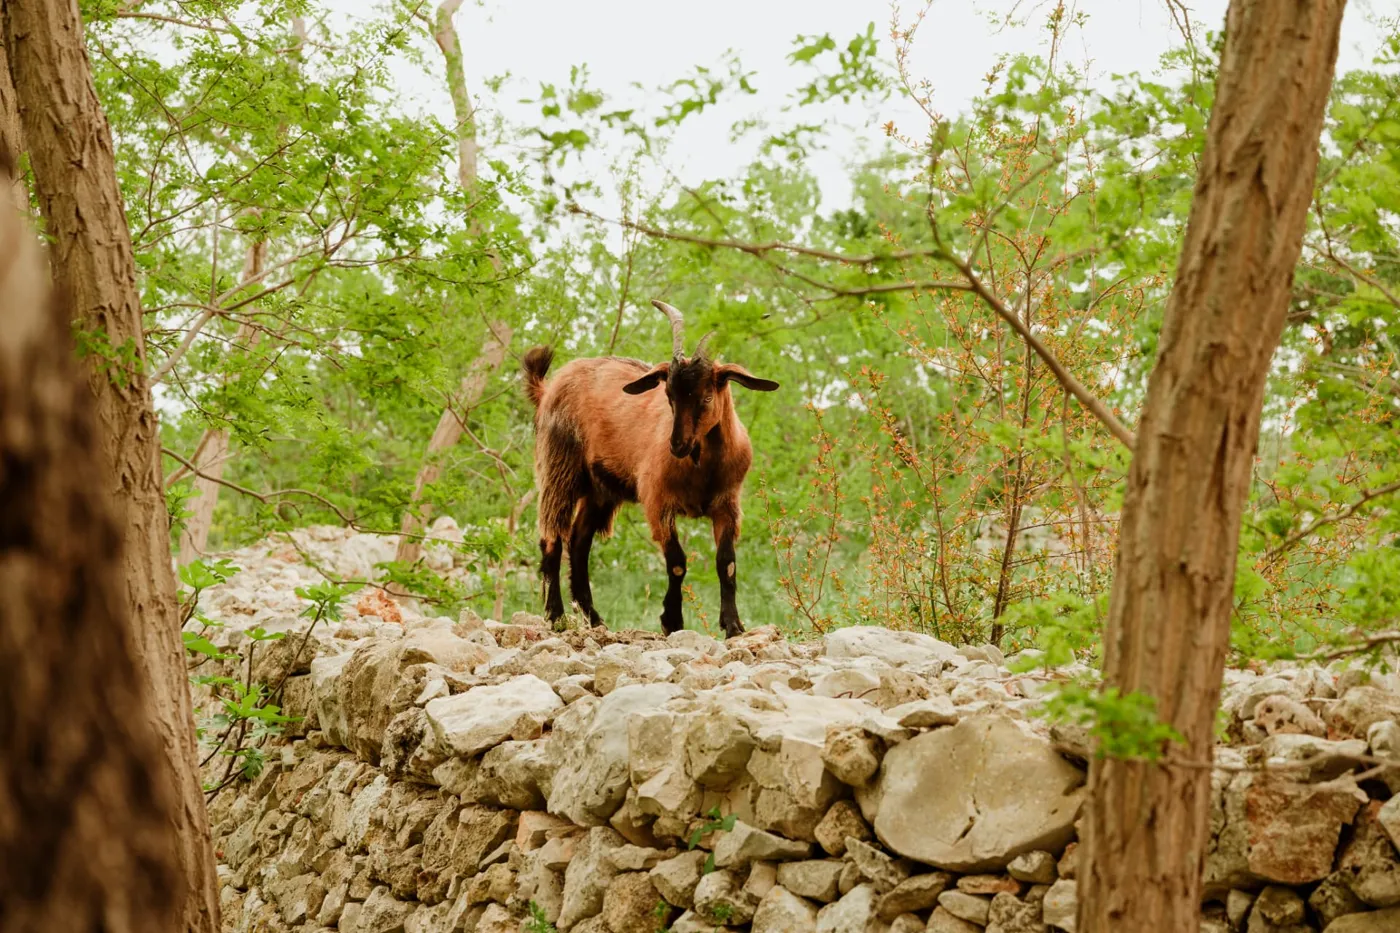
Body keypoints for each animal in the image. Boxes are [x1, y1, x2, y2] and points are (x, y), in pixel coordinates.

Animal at [522, 299, 779, 637]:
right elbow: (677, 563)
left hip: (600, 490)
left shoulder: (727, 505)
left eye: (707, 397)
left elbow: (727, 563)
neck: (703, 468)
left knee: (579, 542)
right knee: (552, 538)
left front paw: (734, 625)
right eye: (668, 396)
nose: (677, 446)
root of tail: (548, 389)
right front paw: (672, 621)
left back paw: (595, 619)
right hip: (558, 467)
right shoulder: (658, 502)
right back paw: (557, 617)